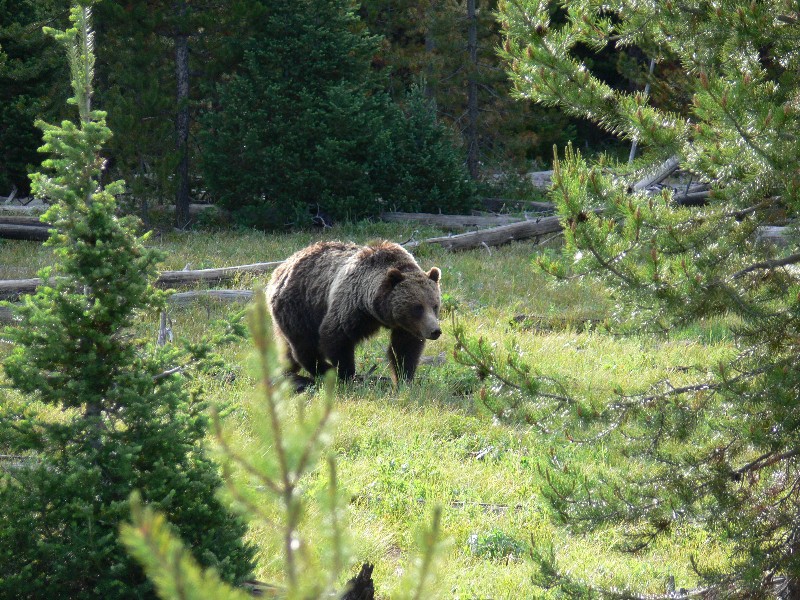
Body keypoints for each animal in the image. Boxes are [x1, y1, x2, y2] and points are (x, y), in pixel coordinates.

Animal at [268, 239, 444, 384]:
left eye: (435, 305)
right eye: (417, 307)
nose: (435, 331)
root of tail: (280, 269)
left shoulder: (405, 326)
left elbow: (405, 347)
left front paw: (404, 378)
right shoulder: (351, 305)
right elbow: (336, 336)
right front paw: (347, 374)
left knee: (287, 348)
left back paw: (286, 371)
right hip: (300, 306)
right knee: (304, 344)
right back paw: (323, 371)